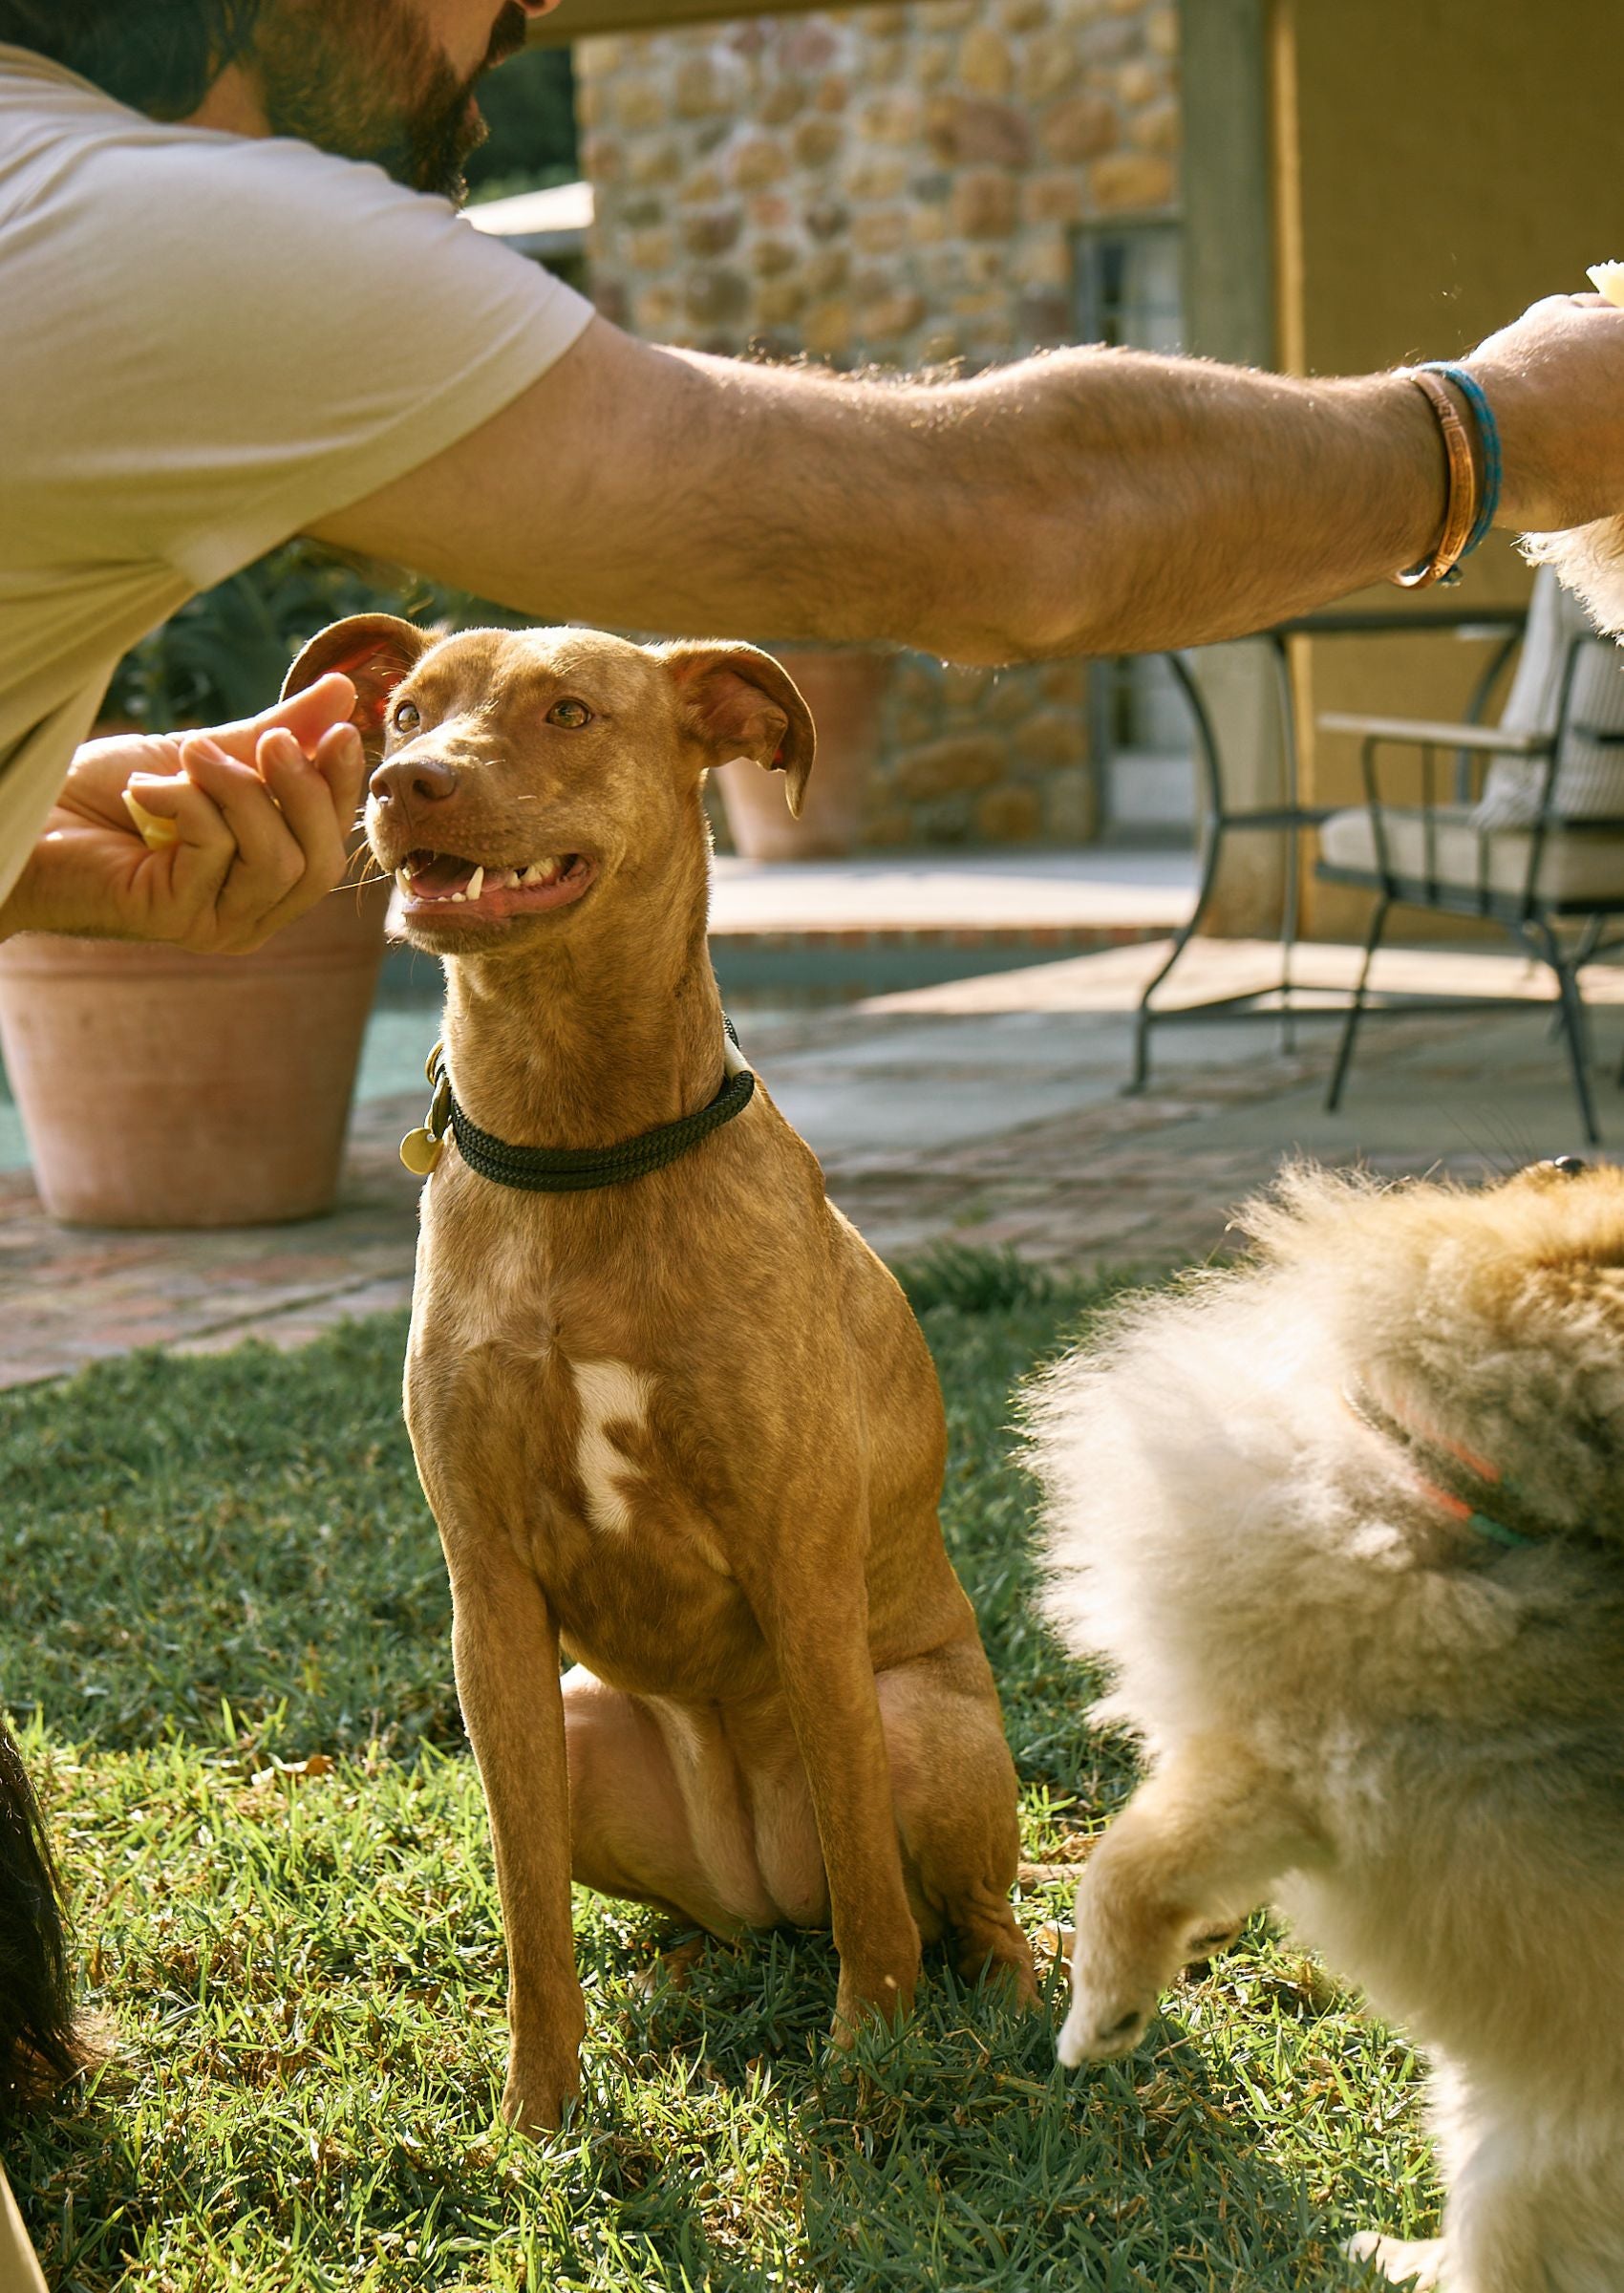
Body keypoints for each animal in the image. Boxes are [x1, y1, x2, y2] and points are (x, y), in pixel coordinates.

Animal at [285, 614, 1032, 2128]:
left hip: (916, 1724)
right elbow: (527, 1911)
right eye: (404, 711)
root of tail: (764, 1885)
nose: (402, 783)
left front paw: (868, 2060)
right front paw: (540, 2114)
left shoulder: (800, 1566)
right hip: (583, 1727)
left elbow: (871, 1880)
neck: (579, 1149)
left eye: (569, 712)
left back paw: (1016, 1993)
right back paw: (692, 1960)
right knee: (729, 1916)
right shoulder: (489, 1606)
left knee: (936, 1900)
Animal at [1027, 1173, 1624, 2283]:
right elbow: (1158, 1860)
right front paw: (1199, 1935)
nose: (1564, 1152)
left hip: (1524, 2164)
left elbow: (1121, 1867)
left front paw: (1101, 2017)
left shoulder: (1278, 1758)